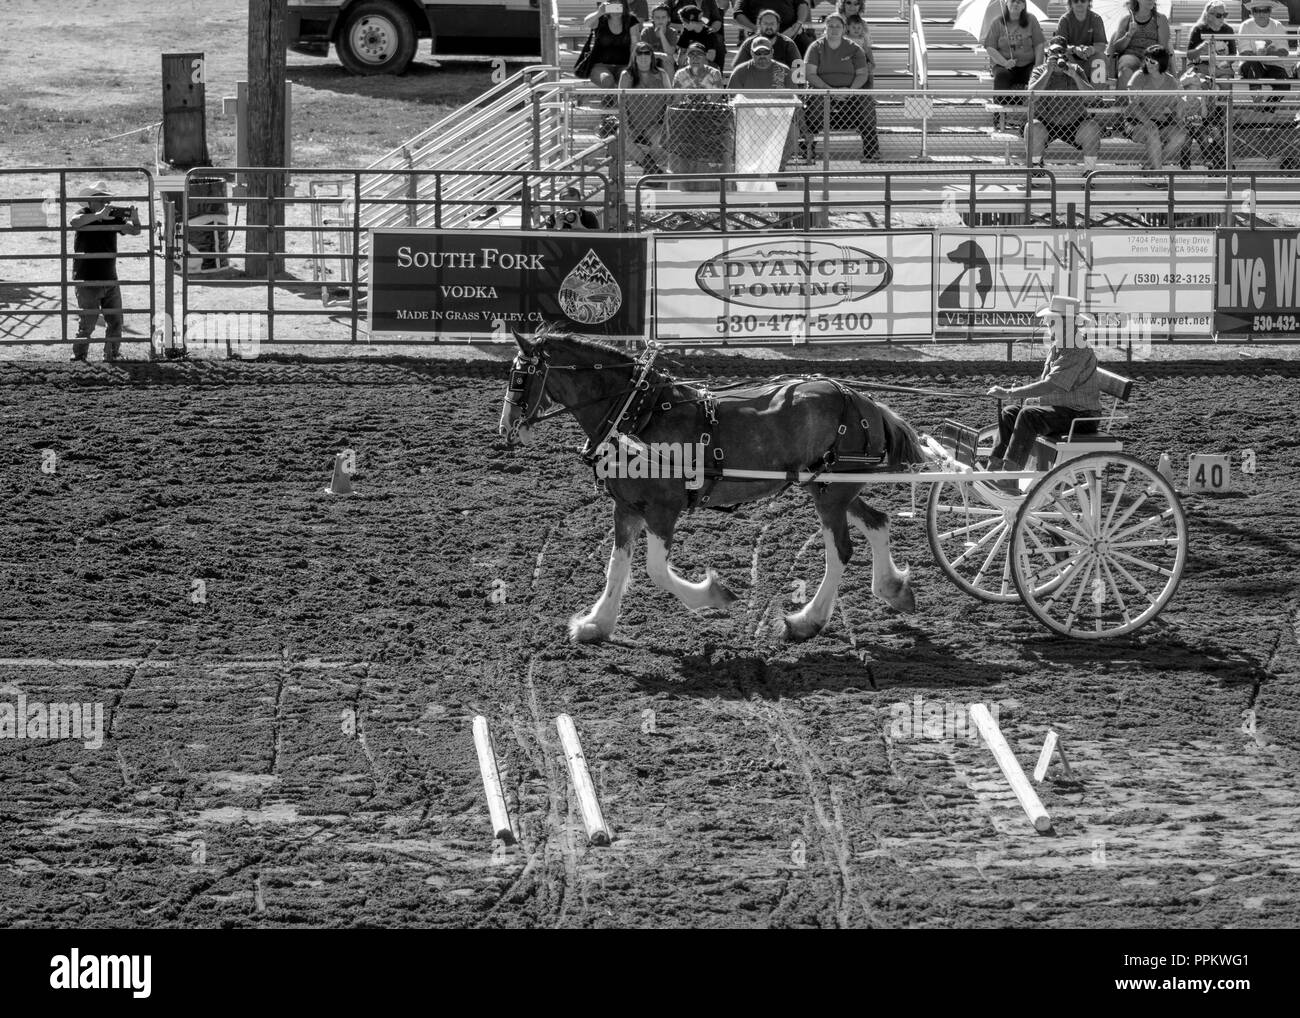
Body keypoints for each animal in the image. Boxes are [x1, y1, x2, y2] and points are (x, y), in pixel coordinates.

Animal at [496, 326, 935, 644]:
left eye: (520, 377)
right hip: (830, 488)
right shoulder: (626, 506)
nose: (506, 429)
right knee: (877, 522)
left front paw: (713, 594)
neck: (637, 414)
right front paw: (595, 624)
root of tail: (860, 398)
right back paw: (893, 589)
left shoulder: (663, 508)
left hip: (830, 493)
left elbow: (656, 570)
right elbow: (616, 567)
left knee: (840, 551)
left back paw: (805, 621)